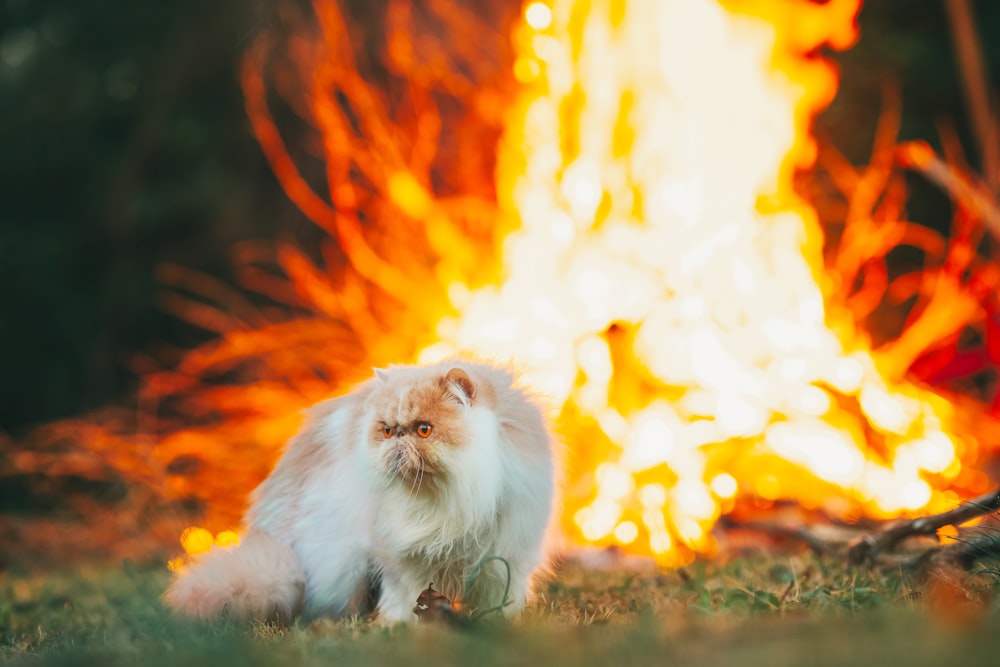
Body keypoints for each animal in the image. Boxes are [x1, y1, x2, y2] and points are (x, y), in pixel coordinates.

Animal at [162, 360, 556, 628]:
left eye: (424, 430)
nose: (397, 442)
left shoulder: (506, 556)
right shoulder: (402, 556)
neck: (446, 502)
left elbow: (501, 597)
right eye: (387, 430)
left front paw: (500, 624)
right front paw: (400, 626)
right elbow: (405, 596)